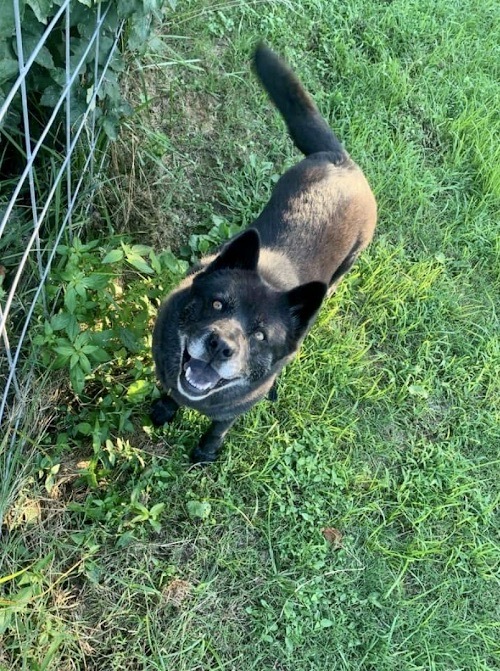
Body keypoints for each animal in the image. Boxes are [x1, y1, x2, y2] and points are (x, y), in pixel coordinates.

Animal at [150, 40, 376, 462]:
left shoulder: (233, 410)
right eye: (217, 304)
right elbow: (171, 390)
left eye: (259, 336)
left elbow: (218, 428)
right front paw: (165, 409)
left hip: (345, 267)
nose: (220, 346)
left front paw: (205, 453)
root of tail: (342, 161)